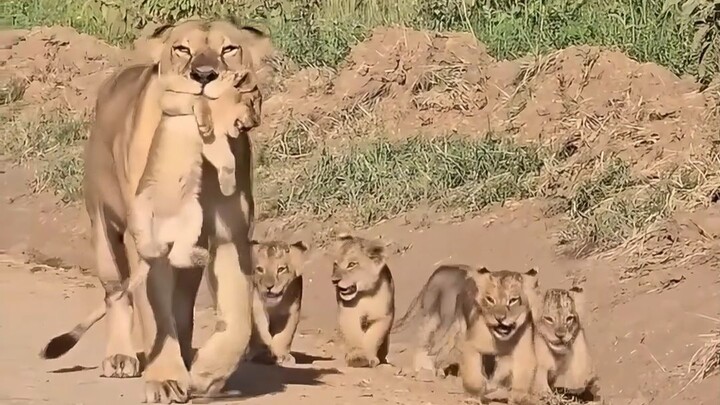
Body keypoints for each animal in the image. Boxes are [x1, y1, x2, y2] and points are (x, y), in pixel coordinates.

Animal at [38, 19, 270, 403]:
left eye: (229, 49)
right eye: (182, 49)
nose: (204, 75)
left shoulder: (229, 236)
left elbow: (237, 319)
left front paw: (206, 374)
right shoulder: (147, 238)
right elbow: (155, 313)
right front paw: (164, 379)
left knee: (182, 304)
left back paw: (189, 356)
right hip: (104, 233)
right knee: (117, 294)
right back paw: (121, 356)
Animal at [330, 234, 395, 368]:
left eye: (352, 264)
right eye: (335, 265)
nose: (334, 281)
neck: (365, 294)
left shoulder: (383, 316)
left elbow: (373, 337)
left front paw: (370, 358)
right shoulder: (348, 314)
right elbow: (354, 335)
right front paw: (357, 357)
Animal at [457, 267, 541, 404]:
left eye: (513, 300)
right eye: (490, 299)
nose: (500, 318)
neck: (503, 342)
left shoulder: (525, 352)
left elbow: (523, 376)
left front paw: (519, 397)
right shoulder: (470, 345)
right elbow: (472, 374)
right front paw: (473, 396)